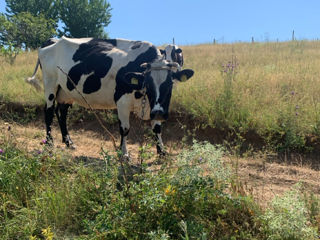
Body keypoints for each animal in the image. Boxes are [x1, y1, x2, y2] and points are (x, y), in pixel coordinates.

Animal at [26, 36, 194, 155]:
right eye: (148, 84)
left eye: (170, 84)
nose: (159, 112)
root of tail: (52, 40)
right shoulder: (122, 101)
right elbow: (125, 128)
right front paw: (124, 153)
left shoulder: (153, 107)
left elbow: (157, 128)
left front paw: (161, 151)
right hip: (50, 83)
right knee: (48, 112)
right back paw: (50, 144)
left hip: (65, 90)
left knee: (62, 113)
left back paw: (69, 142)